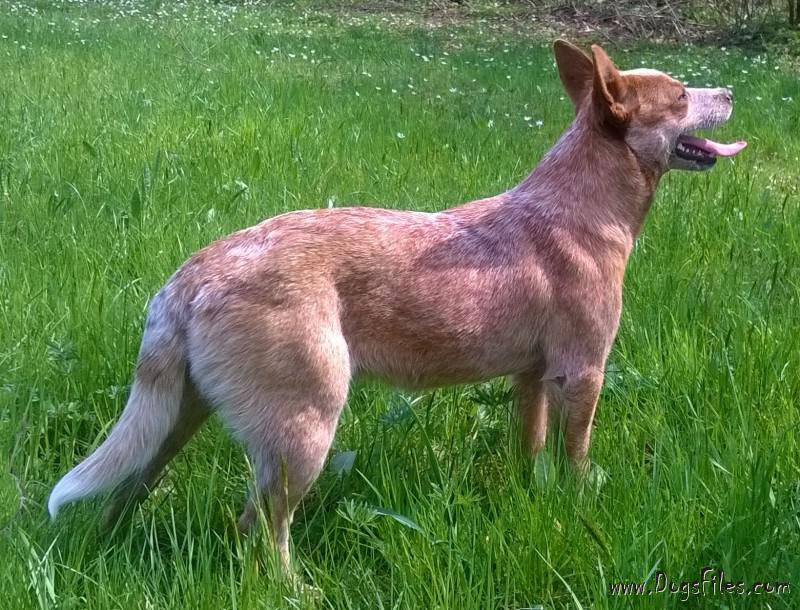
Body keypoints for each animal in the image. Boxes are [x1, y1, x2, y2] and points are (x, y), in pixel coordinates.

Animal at [48, 40, 745, 569]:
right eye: (680, 96)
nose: (731, 91)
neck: (580, 208)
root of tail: (189, 276)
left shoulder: (531, 377)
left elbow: (530, 449)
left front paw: (533, 498)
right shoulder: (583, 372)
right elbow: (576, 457)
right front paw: (577, 507)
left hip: (173, 418)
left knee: (126, 489)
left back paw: (103, 545)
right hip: (305, 429)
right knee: (258, 527)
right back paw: (297, 587)